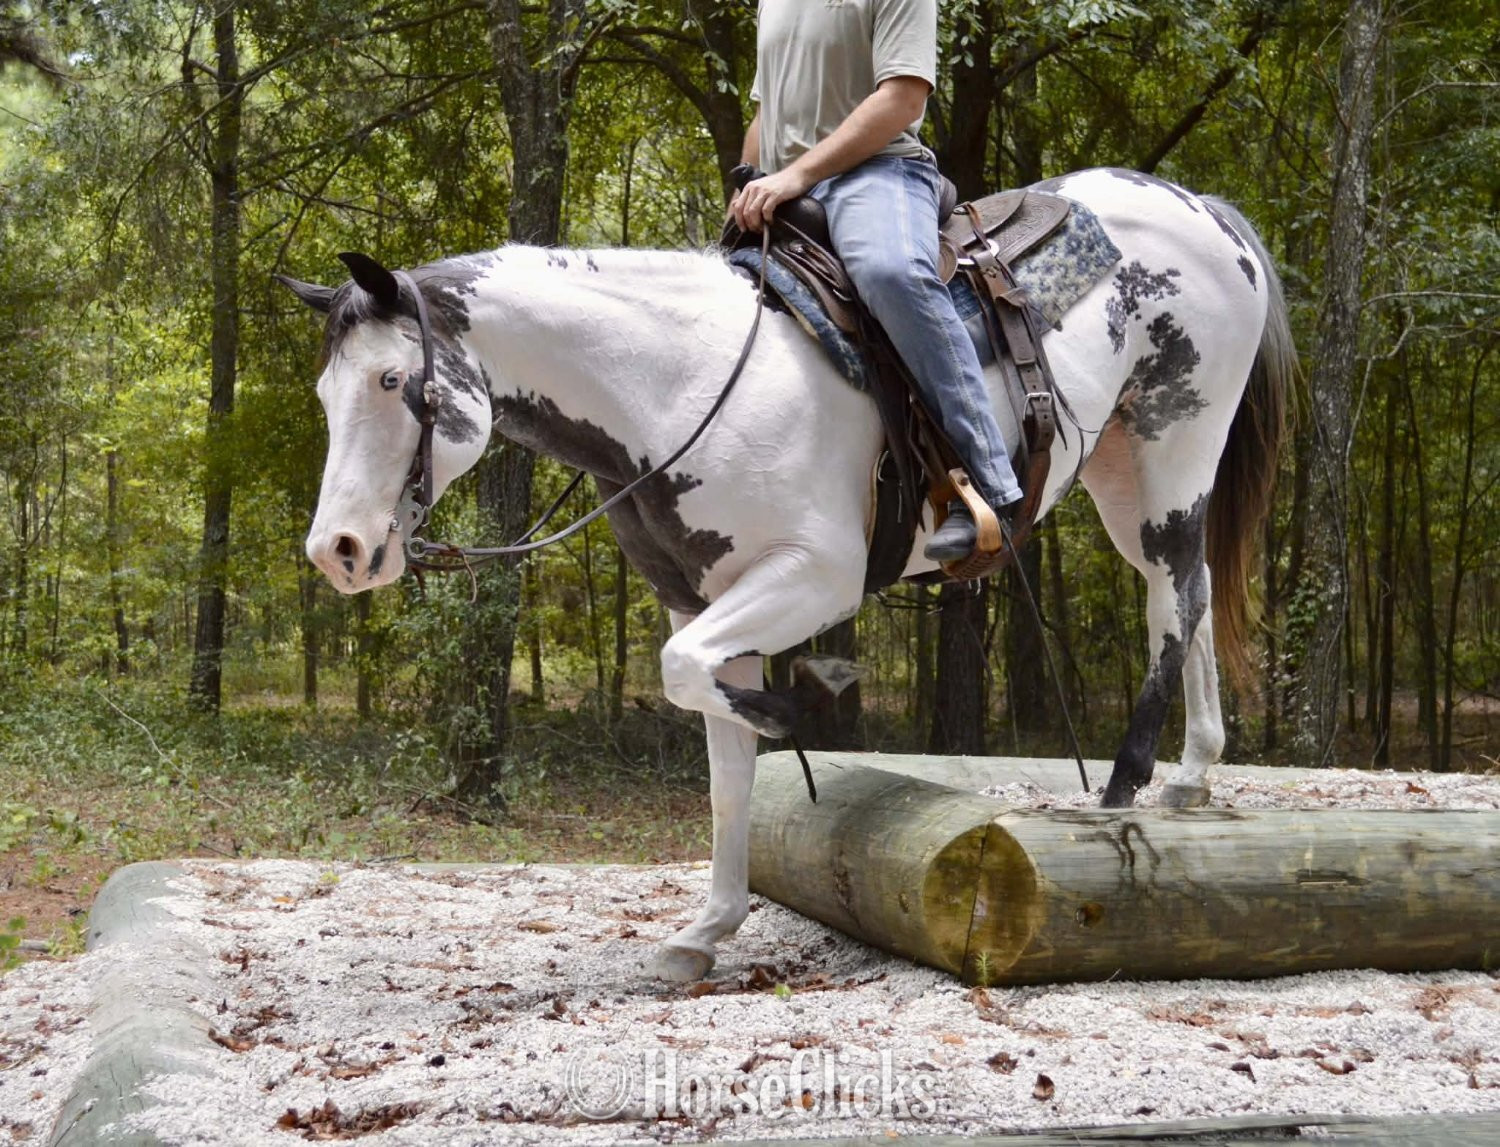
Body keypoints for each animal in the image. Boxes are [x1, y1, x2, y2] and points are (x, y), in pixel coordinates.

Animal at [280, 167, 1294, 982]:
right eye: (328, 392)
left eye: (391, 384)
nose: (336, 551)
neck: (677, 383)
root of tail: (1201, 209)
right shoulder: (701, 598)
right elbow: (719, 748)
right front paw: (705, 930)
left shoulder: (815, 575)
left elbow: (691, 681)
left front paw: (812, 699)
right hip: (1122, 470)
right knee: (1188, 591)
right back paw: (1191, 775)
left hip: (1174, 447)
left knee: (1178, 596)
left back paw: (1123, 786)